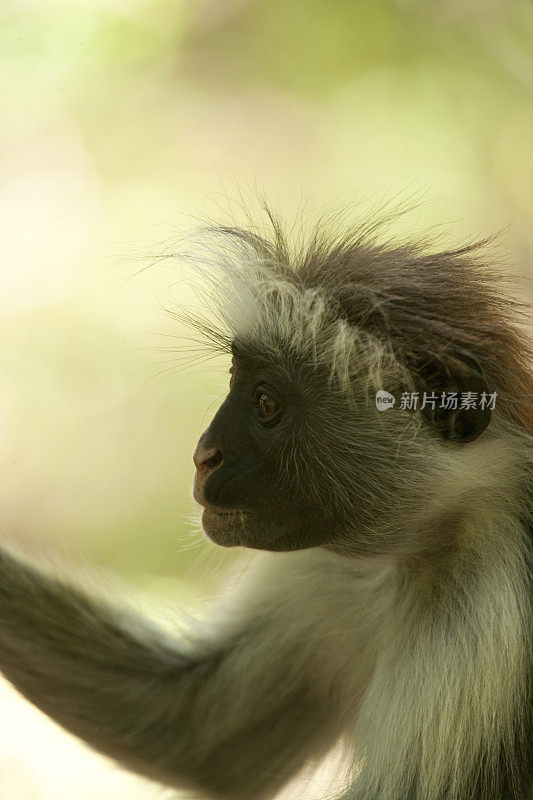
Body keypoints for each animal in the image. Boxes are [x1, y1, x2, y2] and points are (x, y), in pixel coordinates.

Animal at [1, 211, 532, 800]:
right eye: (238, 382)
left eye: (266, 404)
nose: (203, 456)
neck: (425, 550)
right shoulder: (331, 565)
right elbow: (194, 732)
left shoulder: (487, 630)